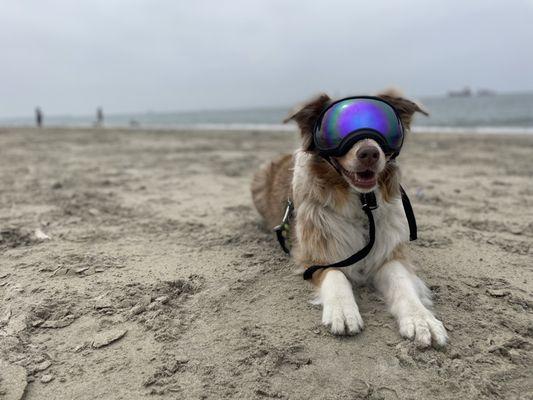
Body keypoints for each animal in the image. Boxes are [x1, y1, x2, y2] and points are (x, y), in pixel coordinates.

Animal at [249, 90, 444, 346]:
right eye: (336, 129)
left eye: (384, 125)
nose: (369, 153)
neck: (361, 207)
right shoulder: (314, 252)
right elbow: (335, 274)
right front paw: (343, 310)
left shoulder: (388, 252)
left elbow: (401, 281)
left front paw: (421, 318)